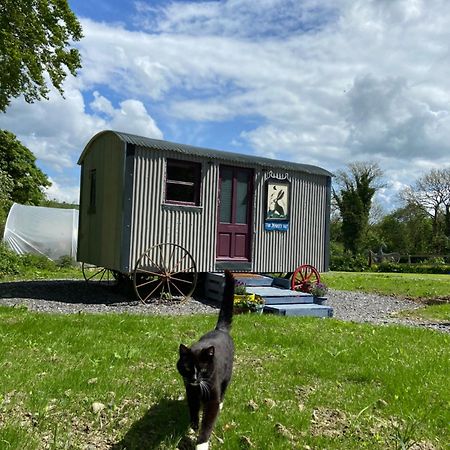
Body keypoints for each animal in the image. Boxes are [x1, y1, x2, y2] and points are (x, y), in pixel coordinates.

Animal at [177, 270, 236, 450]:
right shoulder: (190, 390)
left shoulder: (211, 392)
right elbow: (193, 407)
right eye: (187, 368)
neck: (198, 388)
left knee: (224, 389)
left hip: (227, 374)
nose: (194, 379)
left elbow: (209, 419)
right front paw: (194, 424)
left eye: (202, 369)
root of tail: (220, 329)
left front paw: (201, 443)